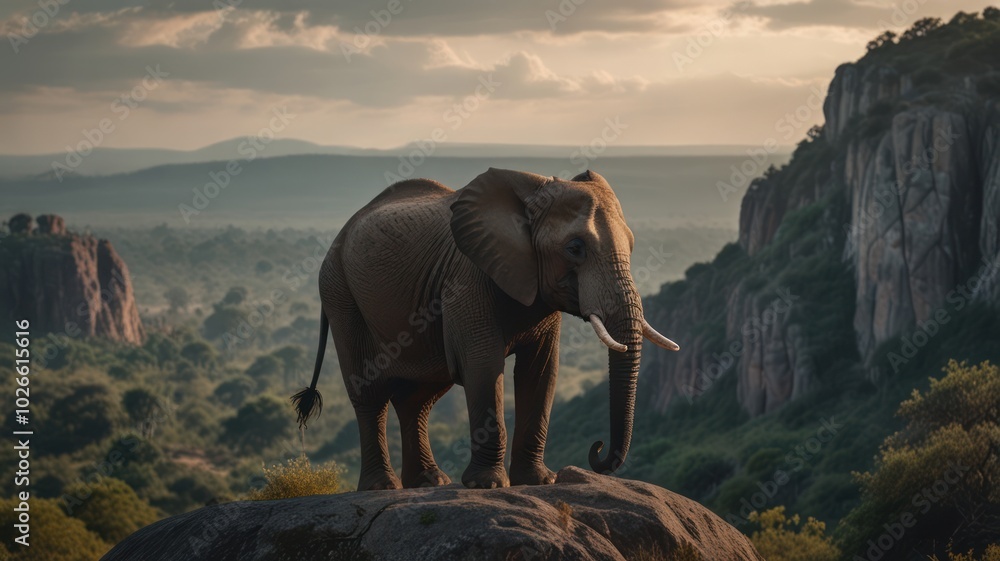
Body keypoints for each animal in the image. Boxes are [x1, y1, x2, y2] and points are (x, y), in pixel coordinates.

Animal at [292, 168, 679, 490]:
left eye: (632, 246)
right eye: (575, 248)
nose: (596, 449)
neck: (533, 191)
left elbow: (541, 371)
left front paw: (539, 482)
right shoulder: (467, 279)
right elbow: (483, 365)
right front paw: (488, 485)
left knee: (419, 397)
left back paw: (430, 482)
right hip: (340, 291)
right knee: (370, 391)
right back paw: (383, 487)